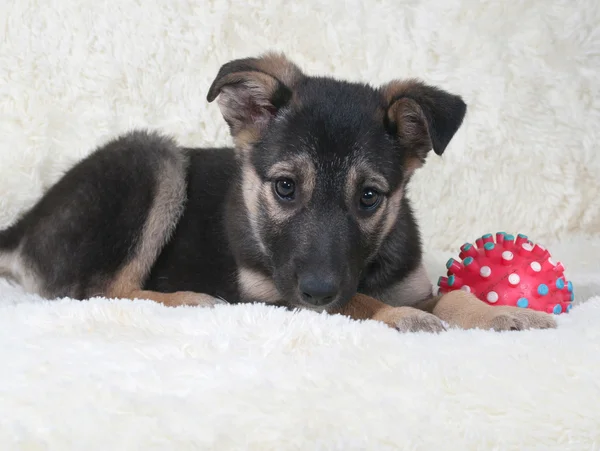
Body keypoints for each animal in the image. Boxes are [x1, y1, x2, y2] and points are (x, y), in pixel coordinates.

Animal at [0, 53, 556, 336]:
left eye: (369, 197)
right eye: (286, 187)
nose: (317, 290)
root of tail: (25, 222)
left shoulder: (405, 282)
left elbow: (452, 294)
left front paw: (499, 312)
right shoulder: (273, 296)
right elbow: (358, 302)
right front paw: (395, 315)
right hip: (152, 158)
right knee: (97, 290)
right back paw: (188, 299)